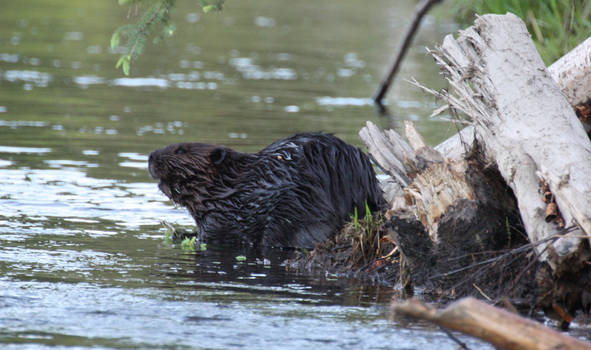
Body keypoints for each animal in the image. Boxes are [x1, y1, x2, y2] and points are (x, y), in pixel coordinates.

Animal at [150, 132, 386, 249]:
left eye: (180, 150)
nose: (150, 156)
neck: (230, 189)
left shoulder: (220, 219)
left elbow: (211, 238)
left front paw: (180, 235)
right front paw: (181, 232)